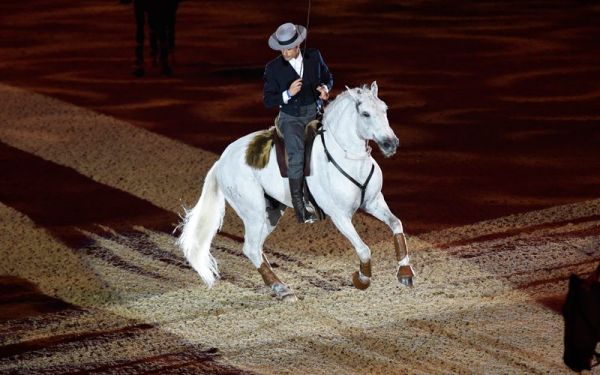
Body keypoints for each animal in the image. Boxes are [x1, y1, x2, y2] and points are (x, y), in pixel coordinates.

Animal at [177, 82, 412, 302]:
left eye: (385, 109)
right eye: (365, 114)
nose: (391, 143)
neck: (346, 156)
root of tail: (222, 160)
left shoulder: (374, 202)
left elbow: (396, 224)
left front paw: (405, 273)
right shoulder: (340, 215)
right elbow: (364, 249)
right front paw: (361, 279)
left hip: (271, 213)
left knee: (255, 248)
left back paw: (279, 287)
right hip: (253, 213)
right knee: (251, 248)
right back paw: (283, 290)